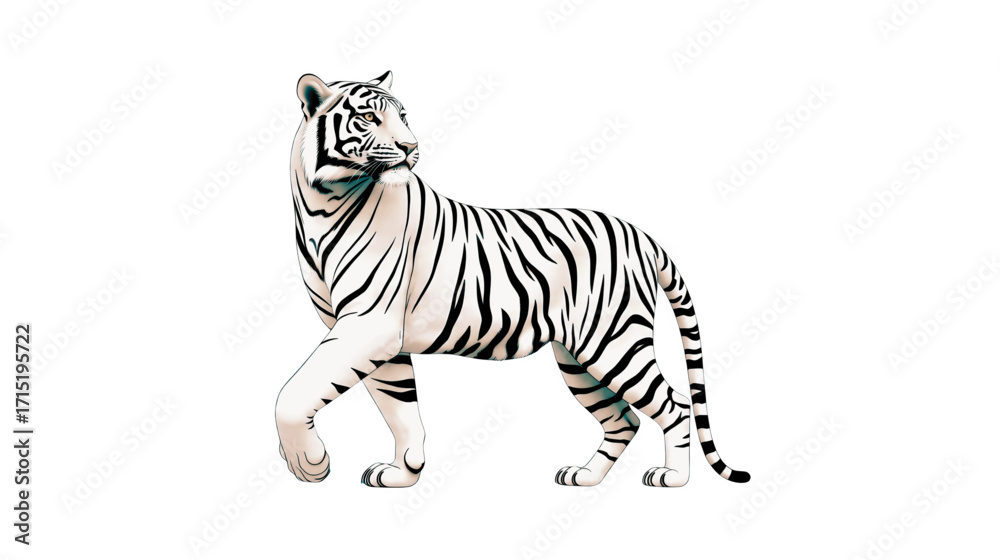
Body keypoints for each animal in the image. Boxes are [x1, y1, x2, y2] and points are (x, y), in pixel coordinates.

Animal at [275, 70, 749, 488]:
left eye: (403, 116)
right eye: (369, 118)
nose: (411, 146)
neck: (322, 201)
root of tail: (641, 235)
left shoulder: (368, 324)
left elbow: (294, 394)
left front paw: (309, 463)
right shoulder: (377, 337)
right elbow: (400, 407)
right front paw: (403, 474)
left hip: (616, 344)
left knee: (675, 405)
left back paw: (673, 477)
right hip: (578, 358)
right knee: (623, 419)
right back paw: (584, 476)